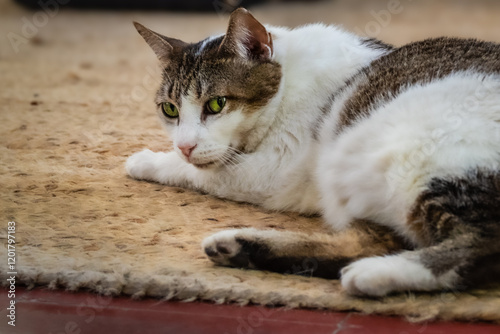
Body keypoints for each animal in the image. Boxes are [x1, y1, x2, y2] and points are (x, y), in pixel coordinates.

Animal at [127, 7, 500, 296]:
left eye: (216, 104)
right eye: (170, 110)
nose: (184, 145)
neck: (288, 82)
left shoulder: (274, 170)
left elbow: (200, 172)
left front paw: (147, 160)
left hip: (407, 160)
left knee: (483, 243)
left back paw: (374, 274)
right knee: (373, 242)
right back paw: (237, 247)